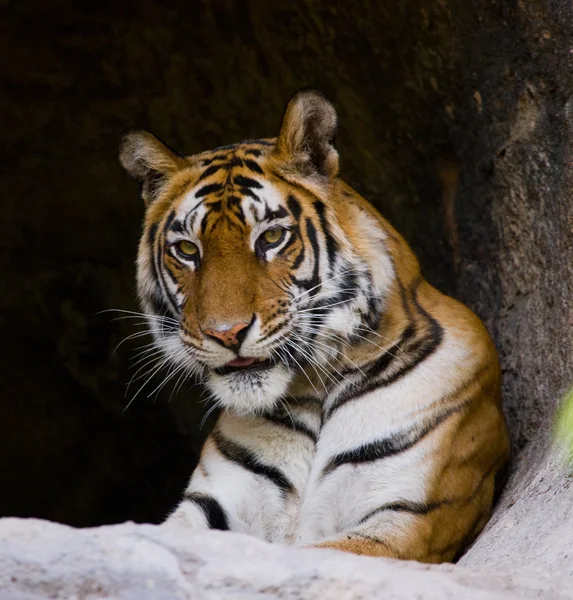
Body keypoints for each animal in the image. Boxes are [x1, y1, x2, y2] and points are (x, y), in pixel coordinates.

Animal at [117, 89, 510, 564]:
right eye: (188, 250)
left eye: (271, 238)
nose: (226, 333)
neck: (316, 390)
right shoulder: (209, 506)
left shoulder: (411, 517)